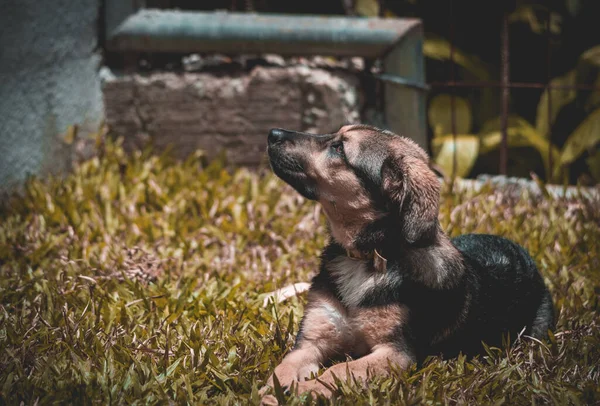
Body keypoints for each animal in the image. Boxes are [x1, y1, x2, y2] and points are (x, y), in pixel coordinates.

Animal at [260, 124, 556, 402]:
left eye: (339, 148)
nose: (272, 133)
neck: (367, 257)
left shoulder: (396, 353)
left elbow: (339, 370)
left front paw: (303, 391)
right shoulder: (311, 340)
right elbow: (283, 368)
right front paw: (271, 393)